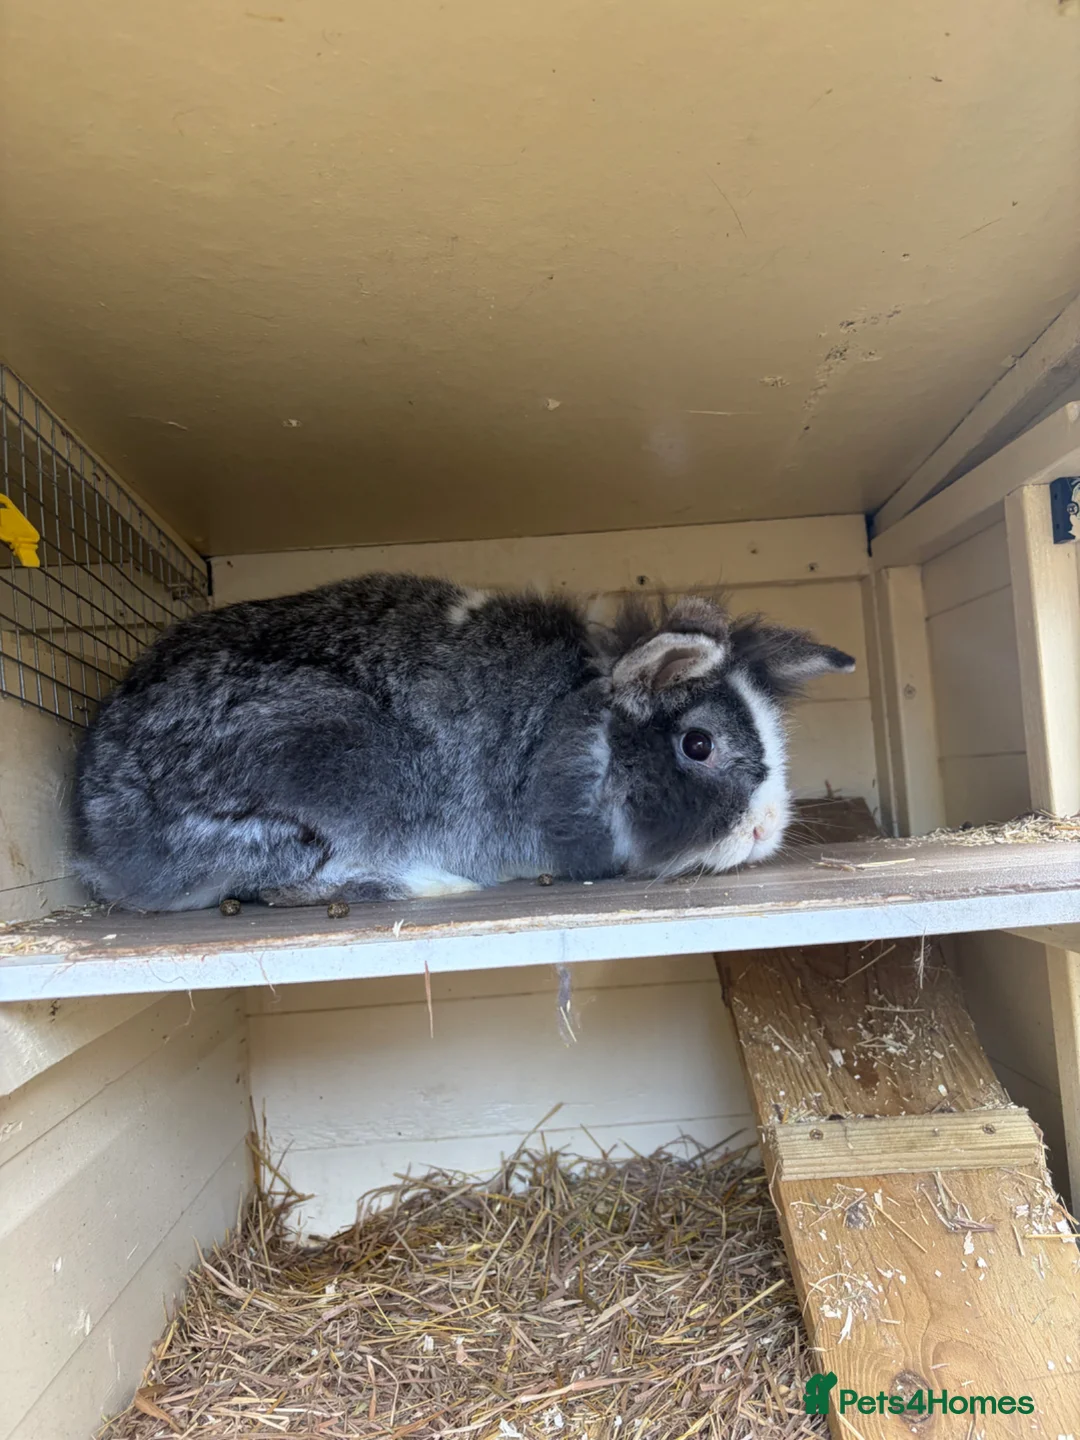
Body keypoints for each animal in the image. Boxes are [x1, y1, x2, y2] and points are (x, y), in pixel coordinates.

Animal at [71, 572, 855, 911]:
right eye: (698, 745)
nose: (765, 830)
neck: (580, 730)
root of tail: (99, 843)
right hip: (324, 773)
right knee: (277, 884)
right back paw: (432, 882)